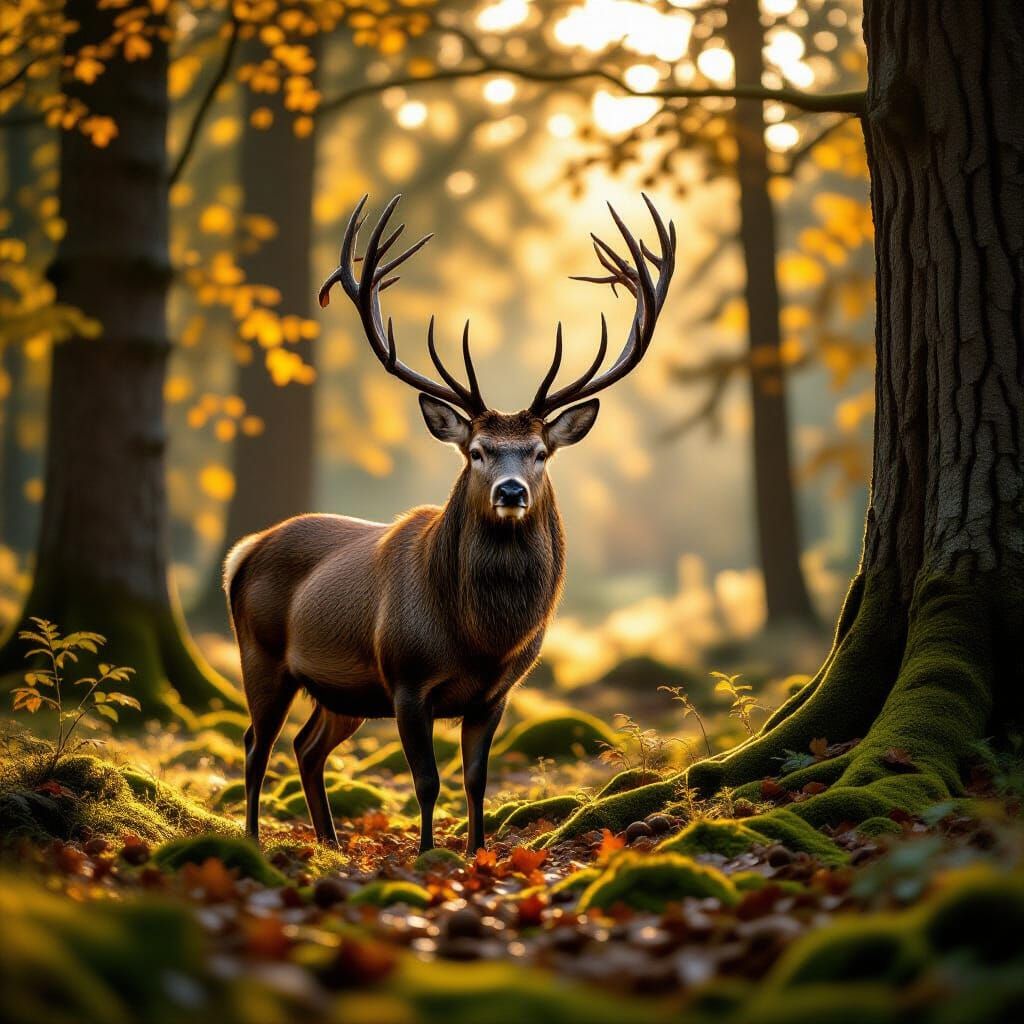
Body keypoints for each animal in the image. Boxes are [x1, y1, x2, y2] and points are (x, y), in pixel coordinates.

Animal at [224, 194, 675, 854]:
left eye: (540, 452)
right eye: (477, 451)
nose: (511, 491)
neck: (480, 639)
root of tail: (244, 551)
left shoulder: (496, 693)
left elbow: (476, 778)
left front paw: (477, 851)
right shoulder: (406, 679)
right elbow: (427, 780)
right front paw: (427, 853)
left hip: (343, 690)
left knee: (307, 747)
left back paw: (330, 842)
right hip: (261, 653)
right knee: (257, 744)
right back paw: (254, 838)